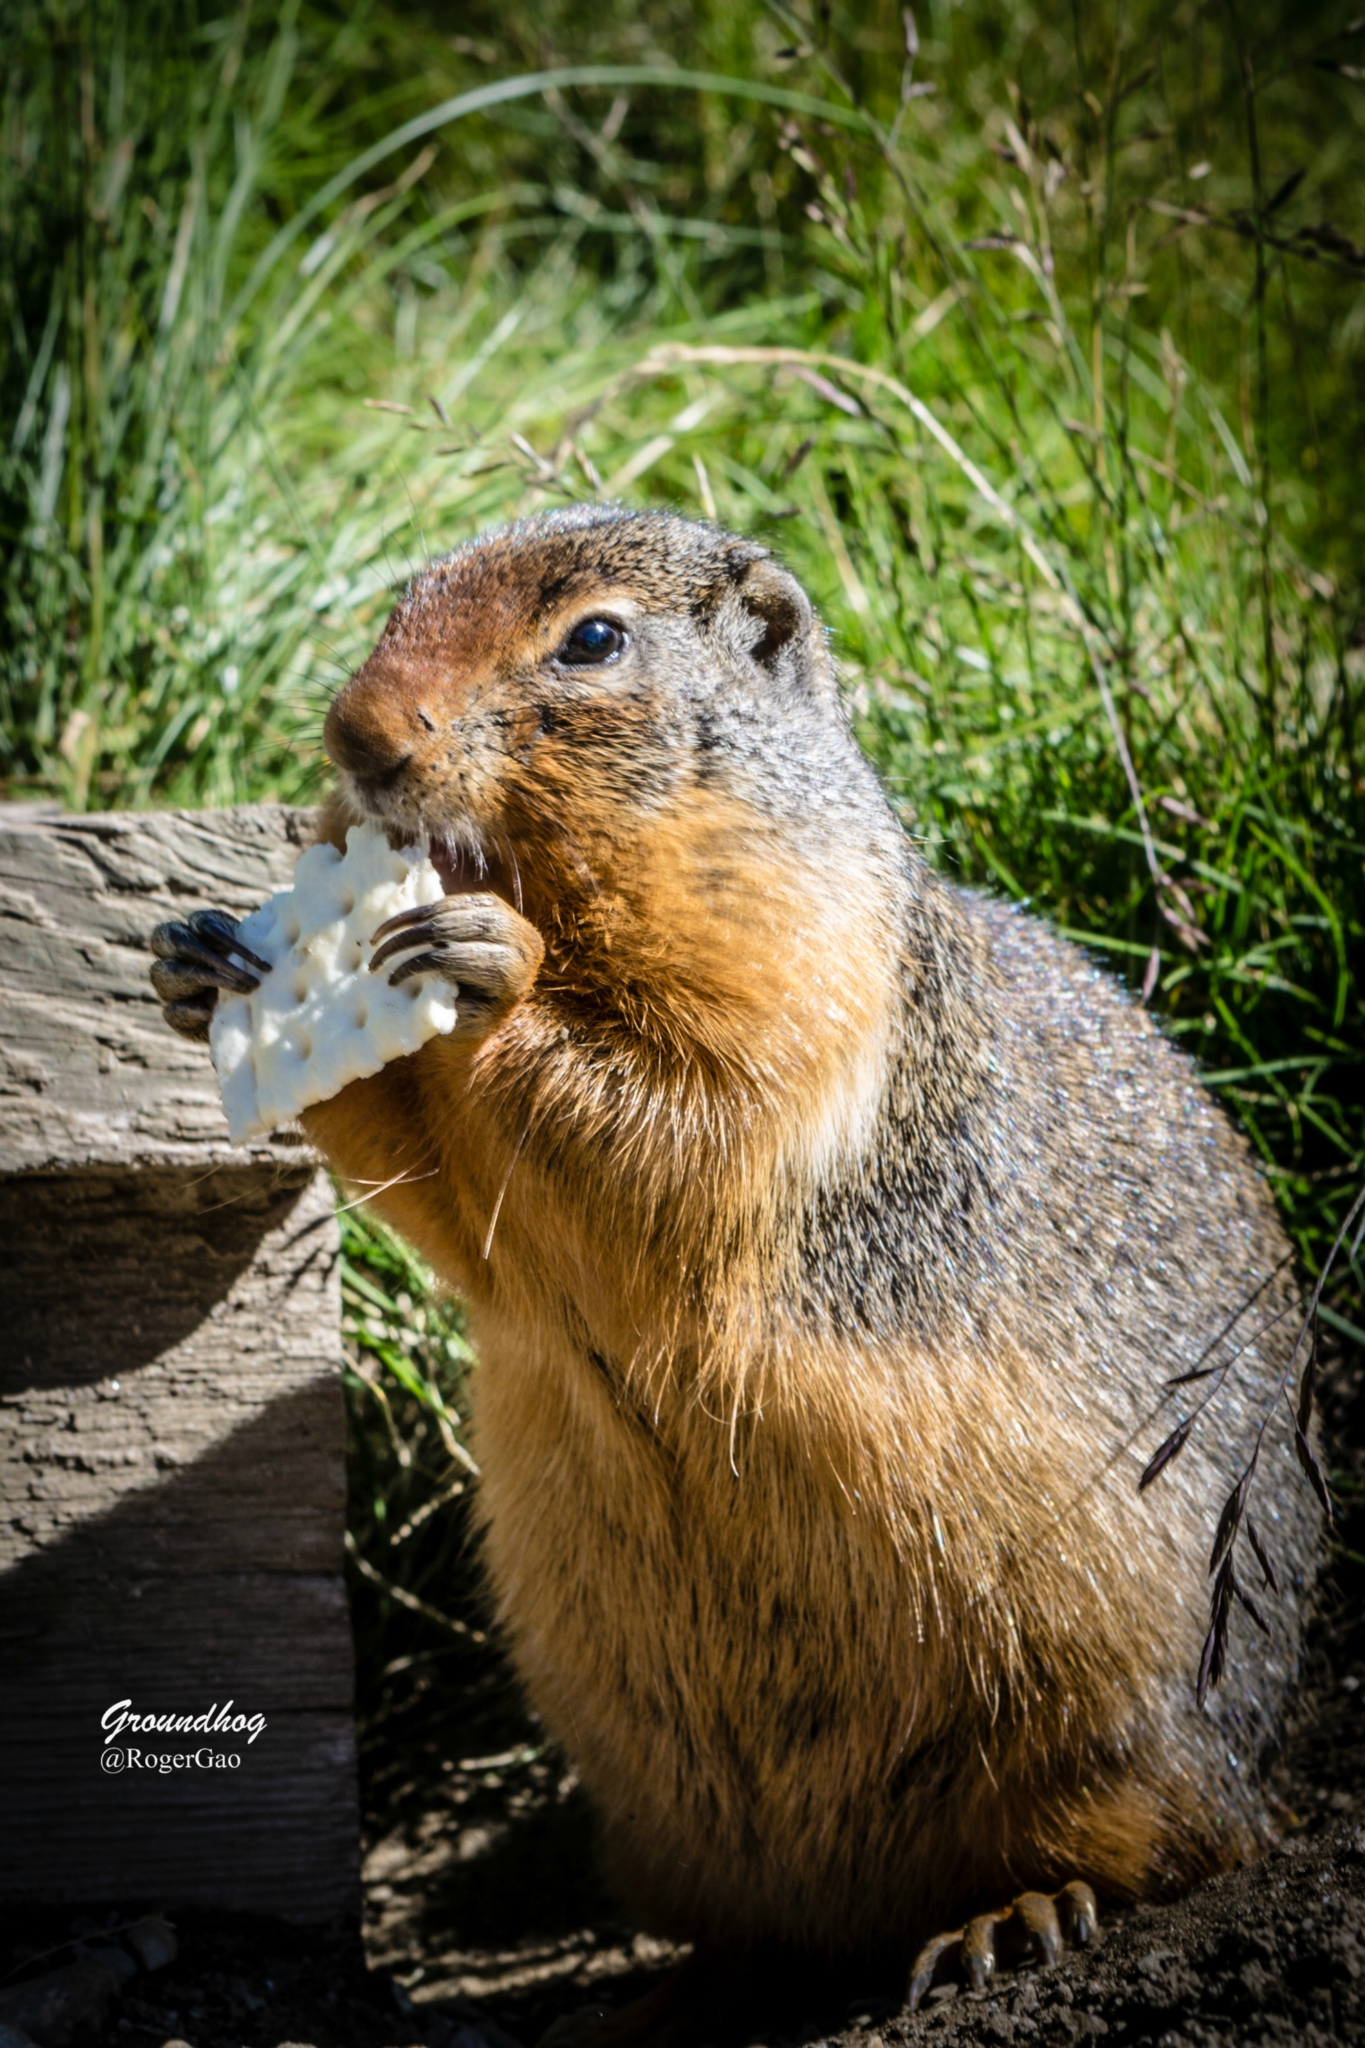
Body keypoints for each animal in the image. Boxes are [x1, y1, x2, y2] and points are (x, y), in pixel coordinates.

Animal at [152, 507, 1326, 2015]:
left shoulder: (800, 941)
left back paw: (1014, 1917)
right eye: (402, 597)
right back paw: (670, 1991)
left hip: (1122, 1725)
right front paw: (201, 958)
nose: (354, 734)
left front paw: (489, 960)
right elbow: (445, 1190)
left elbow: (696, 1101)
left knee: (1163, 1845)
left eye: (594, 638)